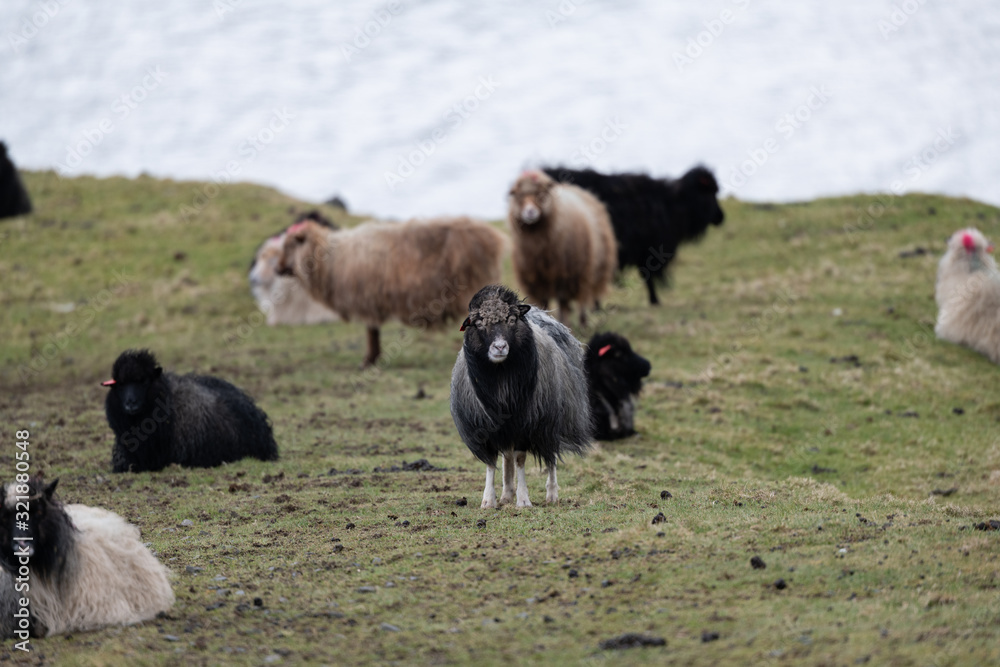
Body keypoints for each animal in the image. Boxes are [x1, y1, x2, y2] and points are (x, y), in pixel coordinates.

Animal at [276, 215, 506, 367]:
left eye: (289, 246)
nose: (277, 268)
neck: (328, 258)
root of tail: (491, 236)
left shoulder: (367, 298)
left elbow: (371, 331)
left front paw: (369, 360)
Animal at [450, 284, 592, 508]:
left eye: (511, 319)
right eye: (479, 323)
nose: (500, 347)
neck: (501, 377)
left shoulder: (527, 424)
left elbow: (520, 459)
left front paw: (523, 500)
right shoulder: (484, 427)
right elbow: (491, 463)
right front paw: (488, 500)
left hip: (551, 418)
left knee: (550, 456)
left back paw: (552, 494)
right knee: (507, 456)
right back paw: (507, 493)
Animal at [507, 170, 617, 327]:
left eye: (541, 193)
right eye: (519, 195)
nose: (530, 212)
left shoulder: (564, 274)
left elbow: (563, 300)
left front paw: (565, 323)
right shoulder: (536, 279)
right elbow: (543, 302)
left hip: (588, 270)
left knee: (582, 299)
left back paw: (583, 322)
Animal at [542, 165, 725, 306]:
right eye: (711, 193)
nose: (721, 218)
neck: (674, 203)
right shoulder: (650, 250)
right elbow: (648, 277)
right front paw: (655, 301)